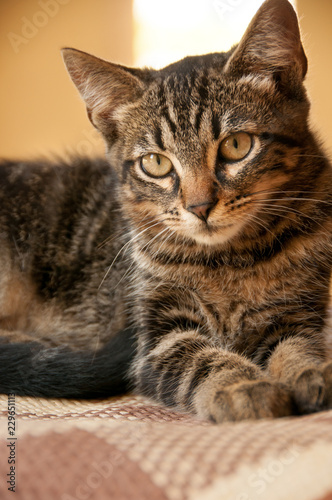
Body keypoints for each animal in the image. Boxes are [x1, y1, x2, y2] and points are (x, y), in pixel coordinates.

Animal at [0, 0, 330, 422]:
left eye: (237, 145)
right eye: (156, 163)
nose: (200, 206)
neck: (231, 259)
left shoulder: (296, 312)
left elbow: (298, 344)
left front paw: (312, 370)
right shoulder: (155, 338)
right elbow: (202, 359)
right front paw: (243, 386)